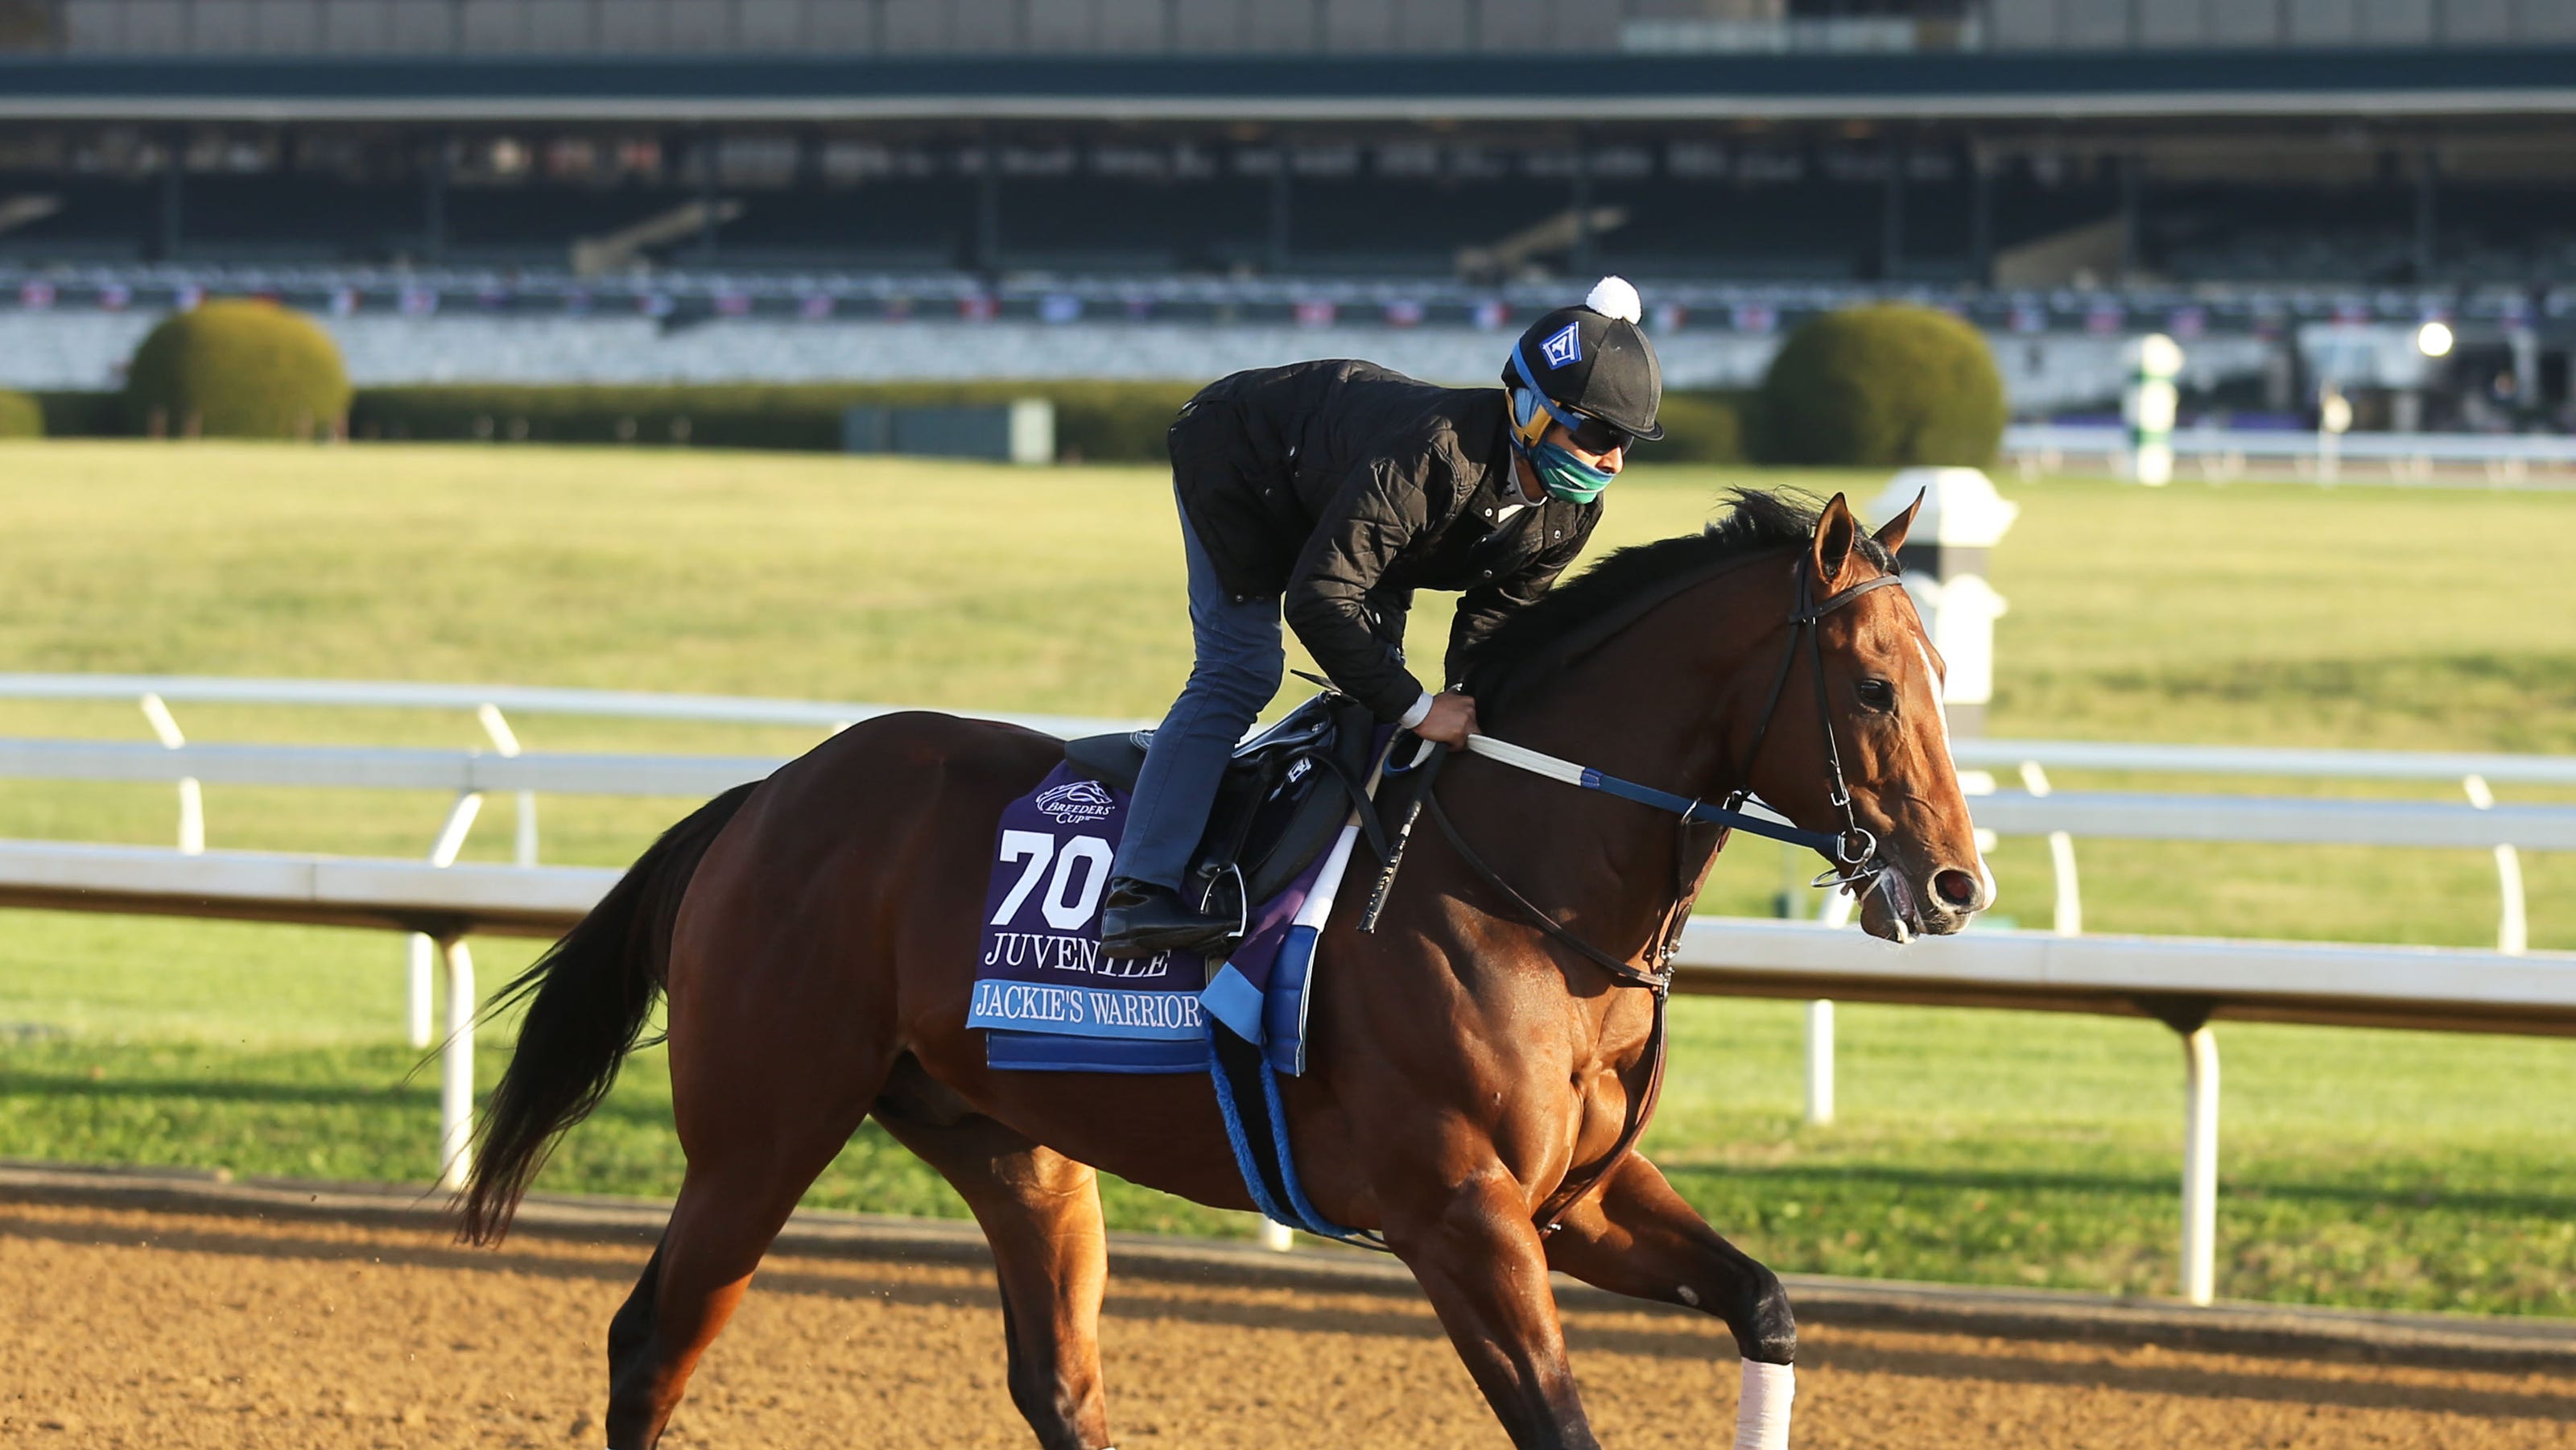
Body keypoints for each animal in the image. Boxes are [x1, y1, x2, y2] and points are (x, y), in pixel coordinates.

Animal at [458, 491, 1988, 1450]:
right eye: (1872, 685)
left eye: (1941, 669)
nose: (1955, 885)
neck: (1522, 876)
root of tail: (767, 793)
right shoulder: (1459, 1213)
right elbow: (1560, 1422)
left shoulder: (1578, 1198)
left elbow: (1767, 1301)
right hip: (760, 1130)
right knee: (650, 1343)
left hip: (1012, 1146)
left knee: (1059, 1387)